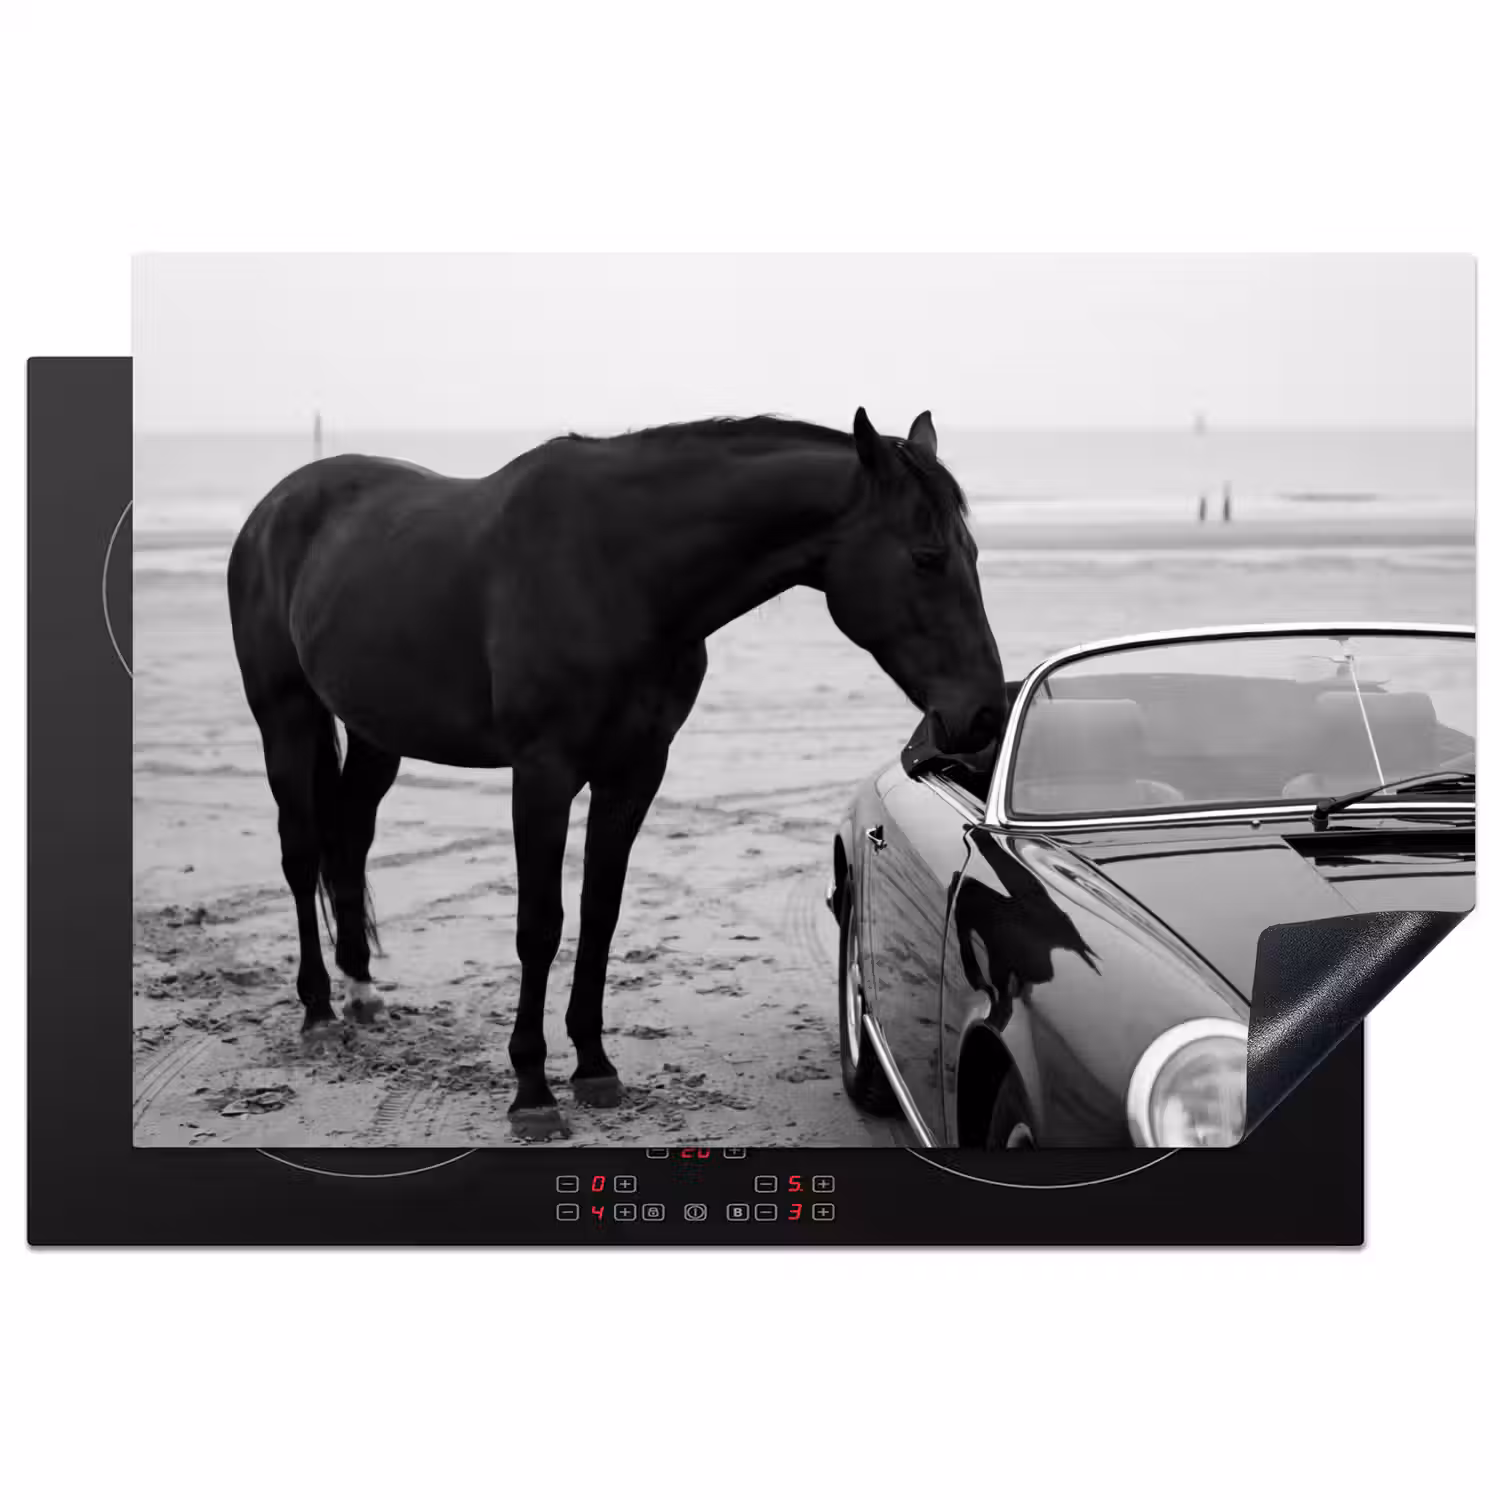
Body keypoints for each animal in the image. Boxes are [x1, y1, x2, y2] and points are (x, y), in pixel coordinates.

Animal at [227, 407, 1007, 1138]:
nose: (983, 715)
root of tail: (276, 506)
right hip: (285, 718)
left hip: (375, 733)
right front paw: (532, 1093)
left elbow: (600, 913)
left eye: (972, 551)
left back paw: (360, 990)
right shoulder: (542, 774)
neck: (618, 571)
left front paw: (594, 1068)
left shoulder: (633, 773)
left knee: (350, 838)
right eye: (927, 557)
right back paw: (318, 1012)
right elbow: (540, 925)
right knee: (301, 853)